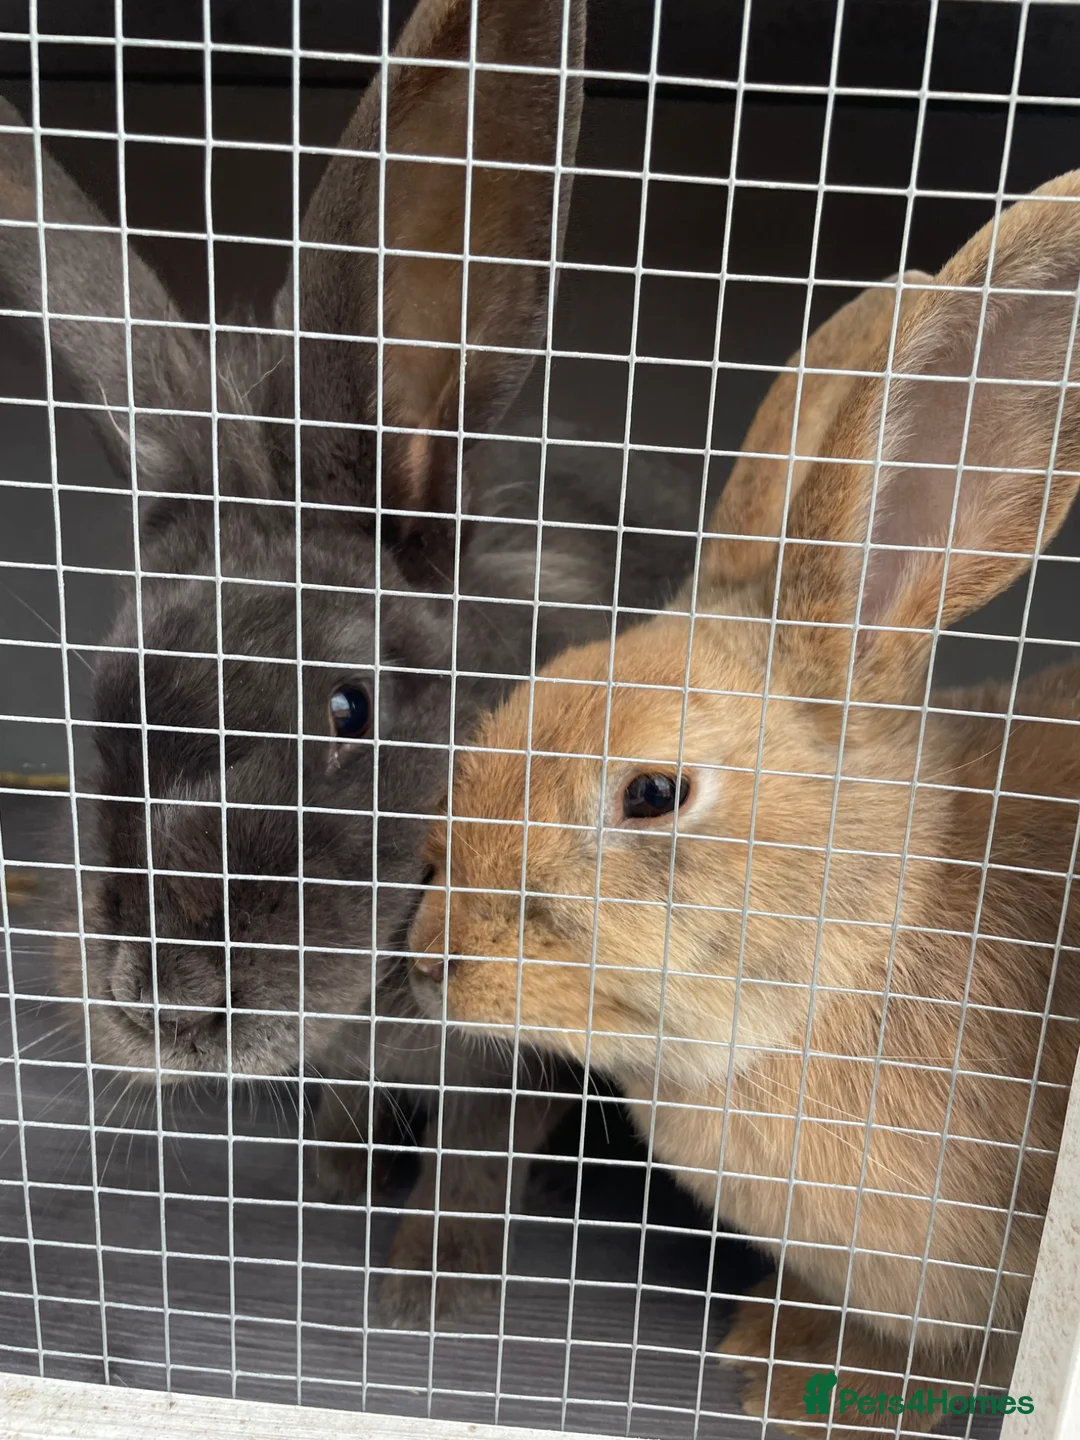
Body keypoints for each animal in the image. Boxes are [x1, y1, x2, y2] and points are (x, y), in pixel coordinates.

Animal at [2, 0, 697, 1328]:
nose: (161, 997)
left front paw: (429, 1285)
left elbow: (484, 1141)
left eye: (348, 706)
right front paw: (340, 1169)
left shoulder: (520, 1042)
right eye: (101, 703)